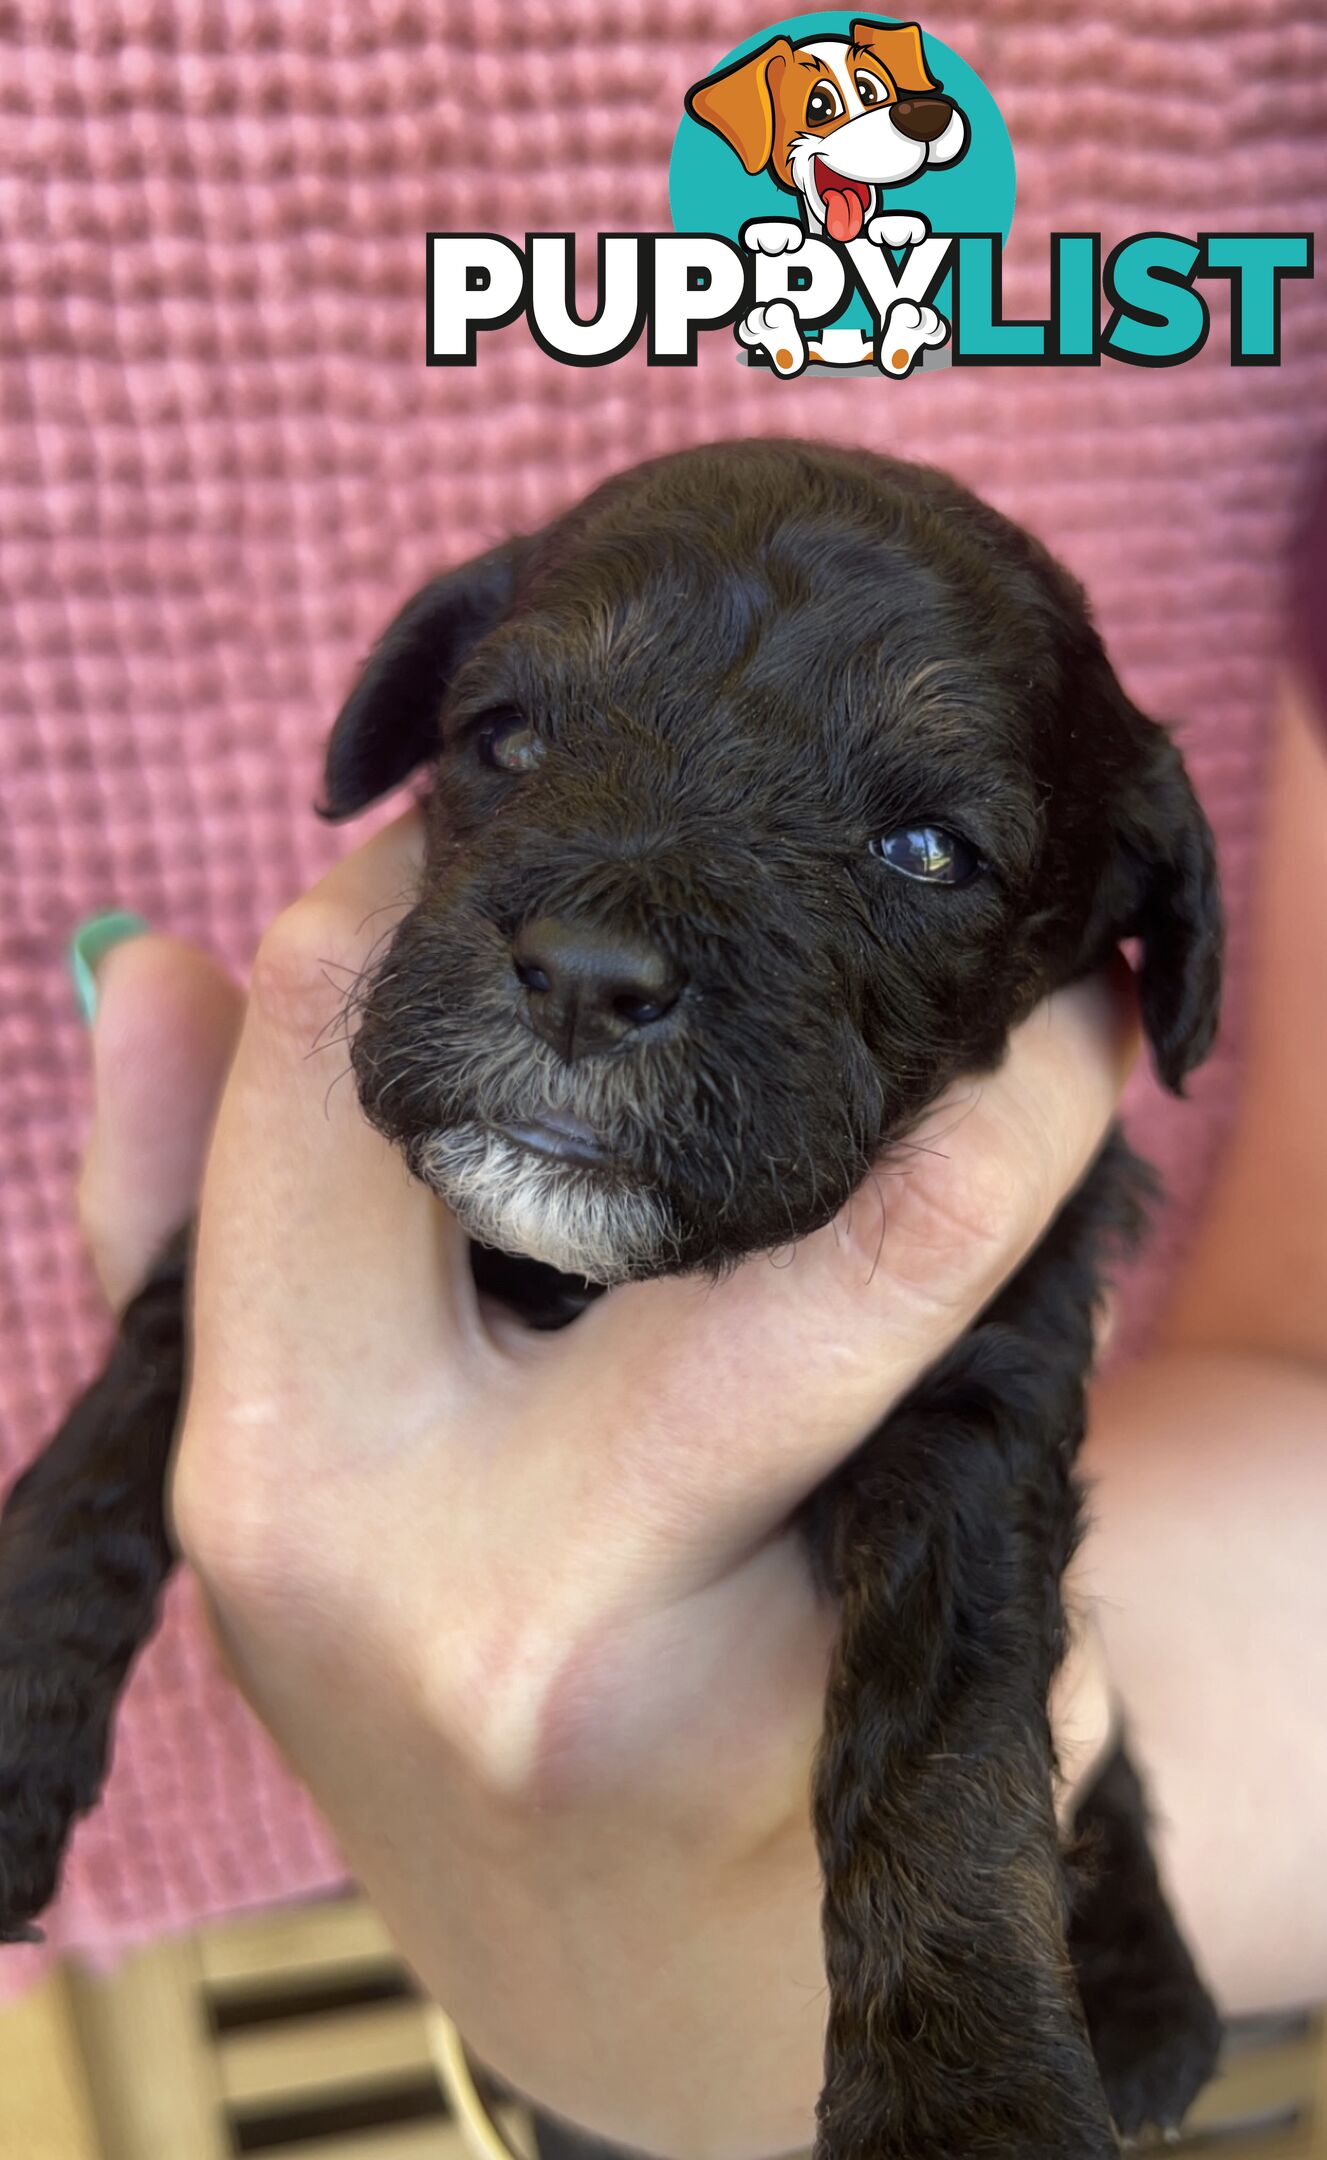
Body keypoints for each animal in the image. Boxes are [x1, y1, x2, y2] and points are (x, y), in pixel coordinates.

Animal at [2, 442, 1227, 2160]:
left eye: (926, 852)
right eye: (504, 738)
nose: (584, 973)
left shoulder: (987, 1387)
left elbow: (952, 1738)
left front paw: (966, 2096)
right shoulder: (214, 1273)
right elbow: (108, 1441)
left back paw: (1141, 1997)